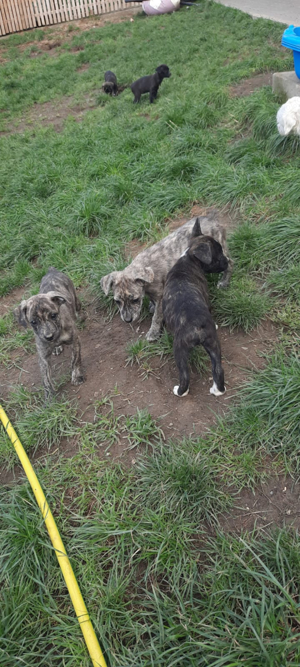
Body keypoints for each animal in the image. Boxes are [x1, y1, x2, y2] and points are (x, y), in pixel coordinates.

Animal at [14, 268, 84, 402]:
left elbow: (75, 360)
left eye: (53, 315)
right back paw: (57, 348)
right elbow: (45, 379)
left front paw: (77, 376)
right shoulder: (43, 357)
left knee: (78, 308)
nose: (49, 336)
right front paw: (49, 397)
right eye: (33, 322)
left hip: (76, 300)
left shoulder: (75, 341)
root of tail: (51, 270)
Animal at [101, 211, 232, 342]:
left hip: (221, 254)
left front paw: (153, 332)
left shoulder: (161, 295)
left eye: (135, 300)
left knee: (230, 263)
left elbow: (157, 316)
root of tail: (211, 218)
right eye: (117, 301)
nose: (128, 320)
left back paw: (224, 281)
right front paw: (151, 306)